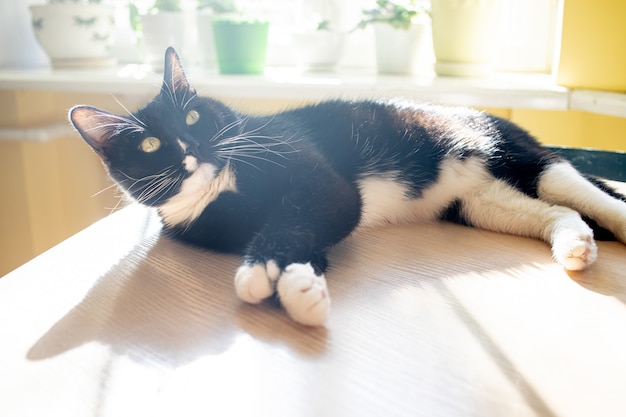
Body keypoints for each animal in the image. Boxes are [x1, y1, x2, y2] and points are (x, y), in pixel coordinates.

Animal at [68, 48, 624, 326]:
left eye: (193, 115)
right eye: (149, 144)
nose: (191, 147)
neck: (221, 186)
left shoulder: (317, 179)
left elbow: (308, 214)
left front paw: (267, 274)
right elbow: (306, 233)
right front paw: (301, 284)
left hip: (514, 154)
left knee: (585, 194)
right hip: (475, 202)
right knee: (553, 212)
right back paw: (575, 246)